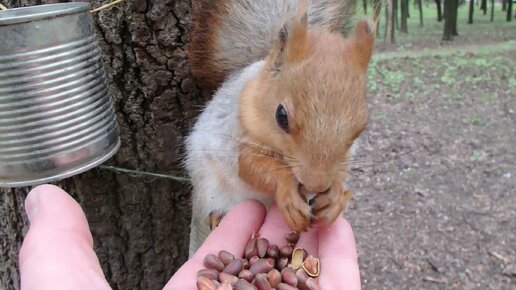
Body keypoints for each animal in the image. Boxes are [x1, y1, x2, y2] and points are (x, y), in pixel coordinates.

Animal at [184, 0, 374, 255]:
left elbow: (341, 170)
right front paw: (287, 193)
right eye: (281, 116)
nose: (316, 184)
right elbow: (251, 165)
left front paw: (335, 198)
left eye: (361, 127)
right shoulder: (235, 133)